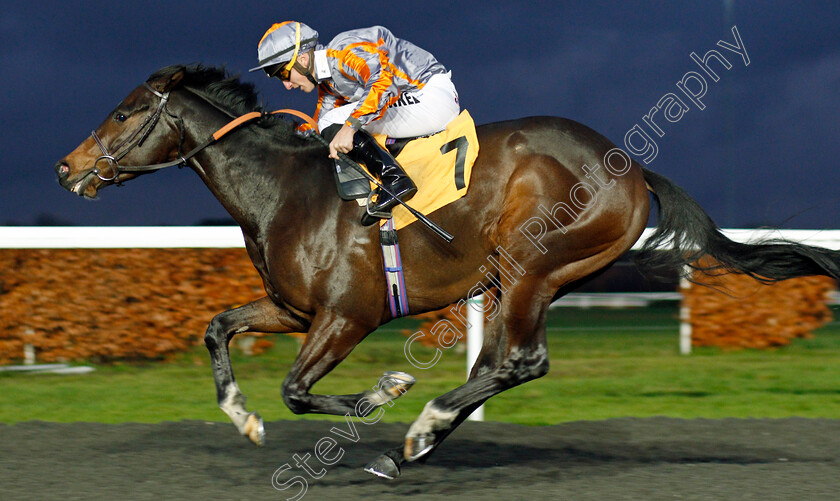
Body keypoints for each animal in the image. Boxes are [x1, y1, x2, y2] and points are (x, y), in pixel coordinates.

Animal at [54, 65, 840, 476]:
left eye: (124, 112)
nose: (66, 167)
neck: (283, 190)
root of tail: (632, 167)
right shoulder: (295, 310)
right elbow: (218, 329)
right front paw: (243, 419)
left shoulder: (348, 316)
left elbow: (298, 391)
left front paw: (386, 392)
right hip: (526, 280)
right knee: (500, 364)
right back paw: (415, 445)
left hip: (533, 265)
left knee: (522, 361)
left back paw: (420, 427)